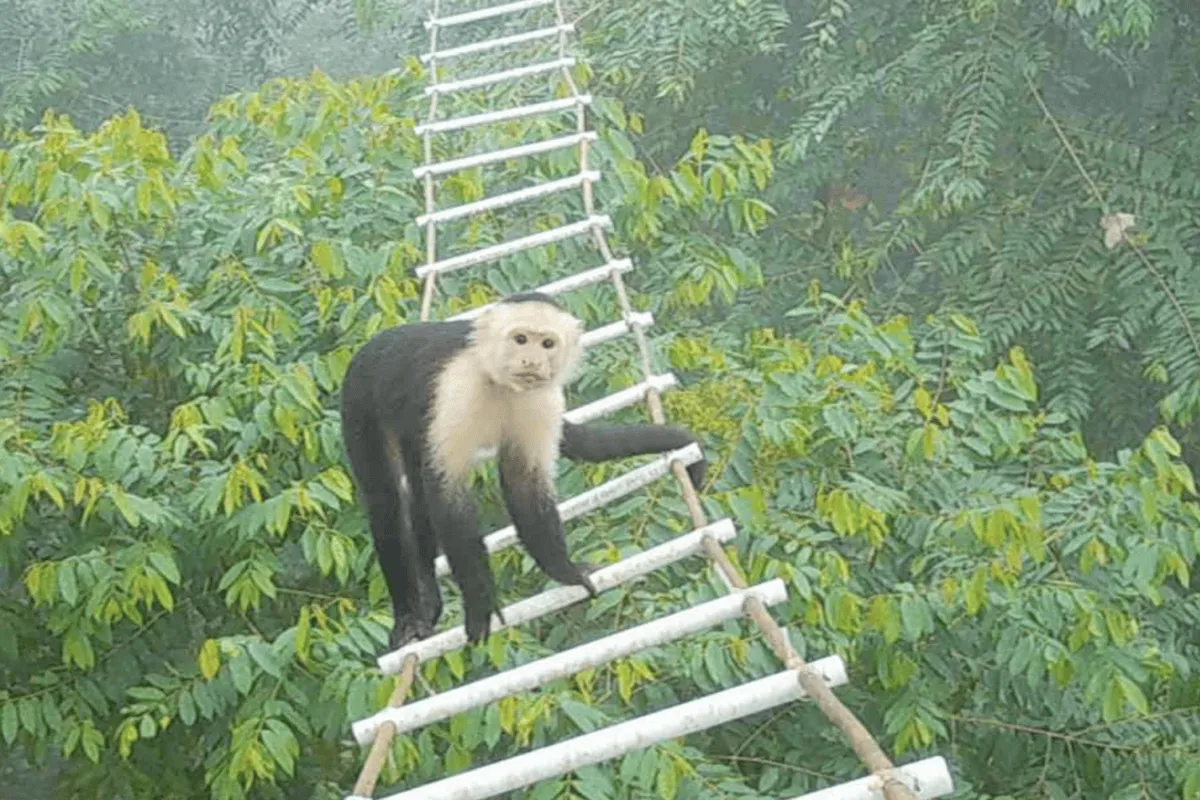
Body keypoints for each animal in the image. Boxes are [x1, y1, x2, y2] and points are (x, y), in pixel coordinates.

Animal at [340, 292, 707, 650]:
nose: (531, 361)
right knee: (387, 500)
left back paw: (429, 596)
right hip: (359, 395)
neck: (501, 383)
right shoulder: (458, 389)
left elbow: (525, 486)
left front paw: (566, 571)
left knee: (417, 492)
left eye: (547, 344)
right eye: (520, 339)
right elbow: (447, 493)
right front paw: (480, 600)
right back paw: (409, 617)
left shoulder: (543, 401)